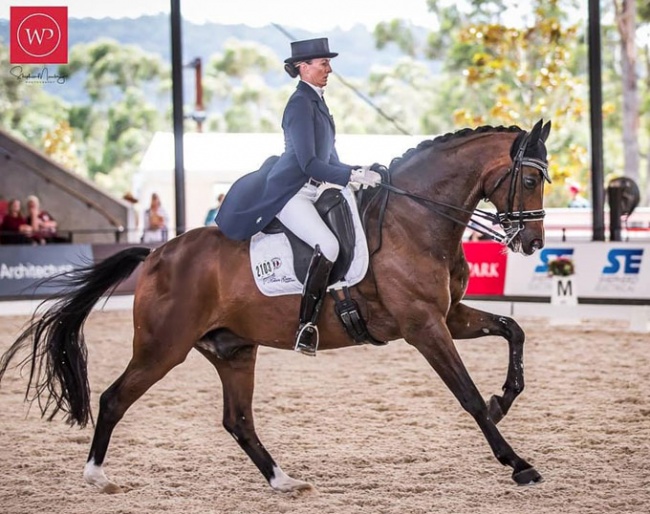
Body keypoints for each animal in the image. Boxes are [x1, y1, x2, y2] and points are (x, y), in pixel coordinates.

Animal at [0, 119, 548, 492]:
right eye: (529, 180)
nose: (534, 243)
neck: (415, 219)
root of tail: (156, 253)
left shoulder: (448, 315)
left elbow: (513, 331)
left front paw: (504, 400)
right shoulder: (423, 325)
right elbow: (467, 395)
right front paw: (518, 463)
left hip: (233, 350)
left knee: (238, 421)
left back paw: (283, 480)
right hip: (163, 348)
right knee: (115, 399)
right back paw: (96, 476)